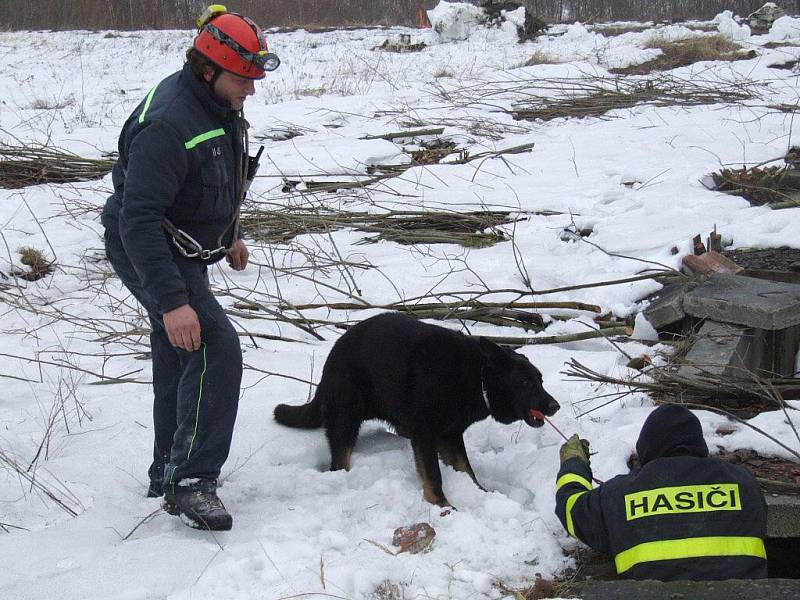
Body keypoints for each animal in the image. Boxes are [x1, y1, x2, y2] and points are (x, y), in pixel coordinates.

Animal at [272, 314, 560, 506]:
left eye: (541, 380)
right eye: (524, 382)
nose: (554, 406)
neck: (477, 377)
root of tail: (331, 359)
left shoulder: (450, 436)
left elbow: (466, 469)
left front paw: (480, 493)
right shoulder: (426, 434)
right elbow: (433, 475)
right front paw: (442, 505)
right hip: (347, 418)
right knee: (339, 460)